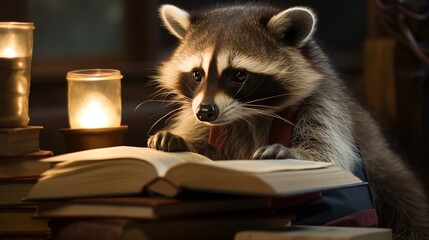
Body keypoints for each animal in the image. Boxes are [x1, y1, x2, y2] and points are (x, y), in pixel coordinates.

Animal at [147, 2, 428, 240]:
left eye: (239, 75)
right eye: (197, 74)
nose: (205, 112)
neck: (249, 114)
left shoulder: (325, 105)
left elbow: (329, 152)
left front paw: (292, 154)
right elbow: (206, 142)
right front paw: (184, 141)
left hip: (391, 183)